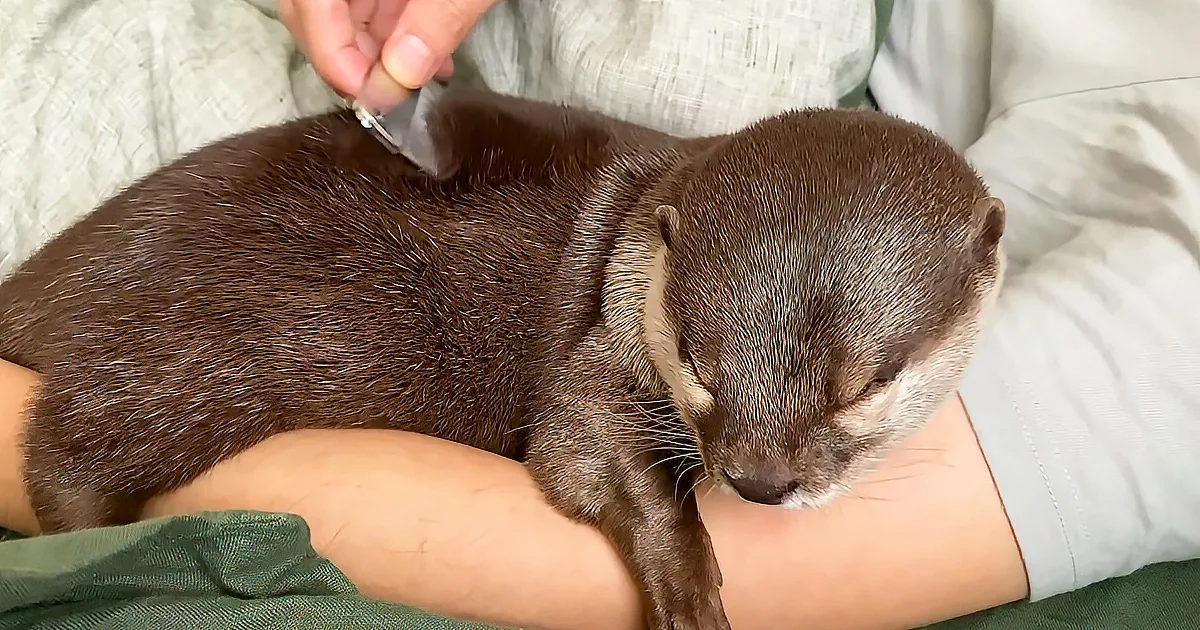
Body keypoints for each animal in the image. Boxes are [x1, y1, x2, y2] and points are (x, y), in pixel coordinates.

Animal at [0, 85, 1005, 630]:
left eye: (867, 383)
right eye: (696, 360)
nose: (758, 481)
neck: (634, 247)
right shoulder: (596, 361)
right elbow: (583, 450)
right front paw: (689, 586)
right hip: (221, 343)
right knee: (68, 445)